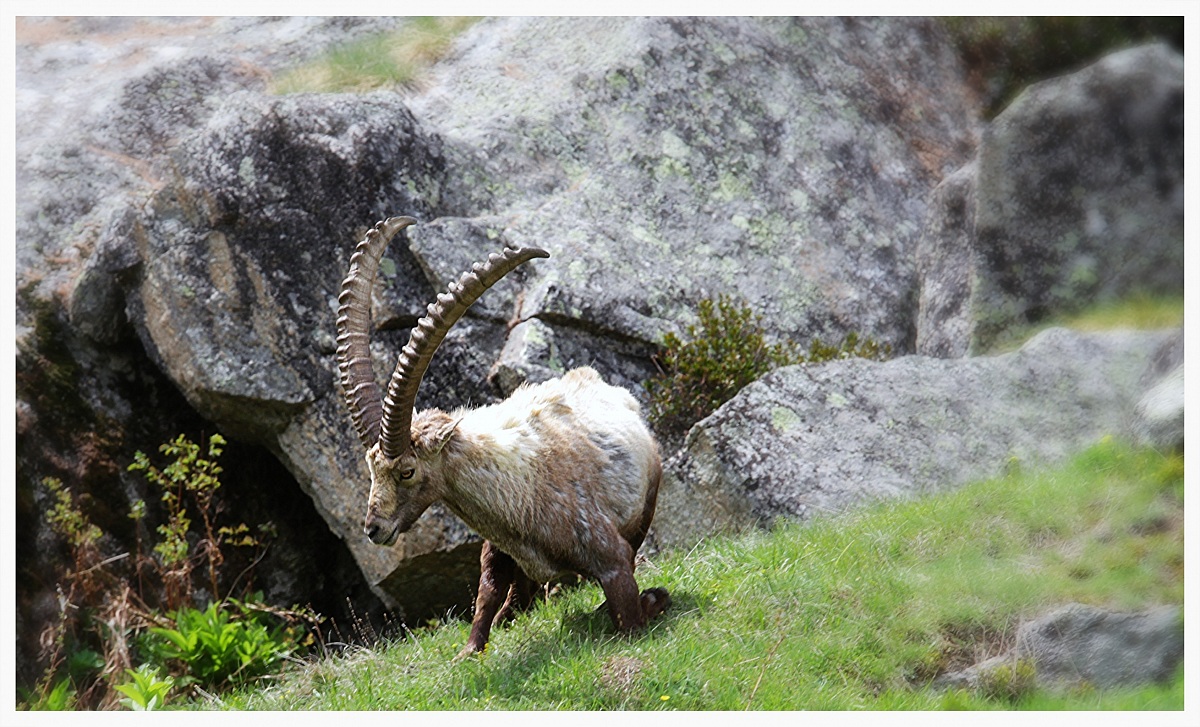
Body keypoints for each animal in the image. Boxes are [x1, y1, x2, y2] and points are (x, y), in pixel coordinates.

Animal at [335, 216, 669, 657]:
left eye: (407, 471)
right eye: (371, 469)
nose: (373, 528)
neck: (517, 495)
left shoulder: (611, 557)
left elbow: (629, 614)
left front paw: (654, 599)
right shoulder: (495, 553)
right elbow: (483, 602)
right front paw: (469, 650)